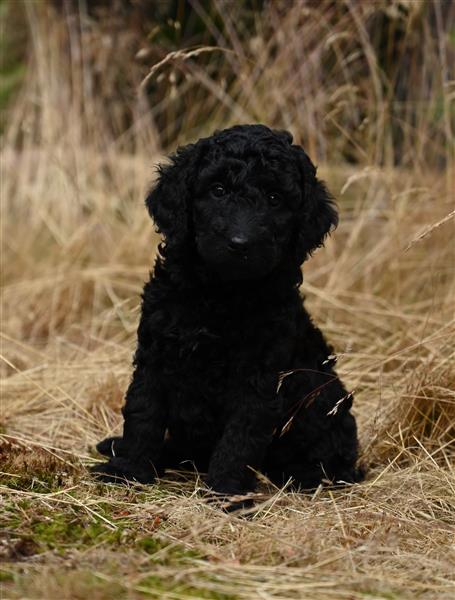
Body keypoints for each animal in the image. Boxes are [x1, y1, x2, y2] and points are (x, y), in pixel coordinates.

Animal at [92, 123, 364, 496]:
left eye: (275, 198)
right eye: (218, 190)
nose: (240, 243)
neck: (221, 293)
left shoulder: (260, 374)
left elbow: (242, 433)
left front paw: (226, 488)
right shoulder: (156, 353)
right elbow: (143, 412)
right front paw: (129, 470)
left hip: (321, 396)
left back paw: (305, 475)